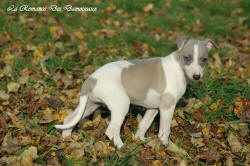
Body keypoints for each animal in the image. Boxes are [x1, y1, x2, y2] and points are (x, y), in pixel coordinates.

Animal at [54, 36, 217, 148]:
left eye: (204, 59)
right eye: (187, 58)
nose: (197, 76)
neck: (178, 67)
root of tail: (91, 79)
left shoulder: (154, 107)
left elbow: (144, 124)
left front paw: (140, 140)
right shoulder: (167, 106)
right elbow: (165, 129)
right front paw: (164, 145)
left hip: (90, 104)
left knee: (69, 120)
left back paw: (67, 139)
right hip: (121, 104)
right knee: (111, 130)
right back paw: (121, 147)